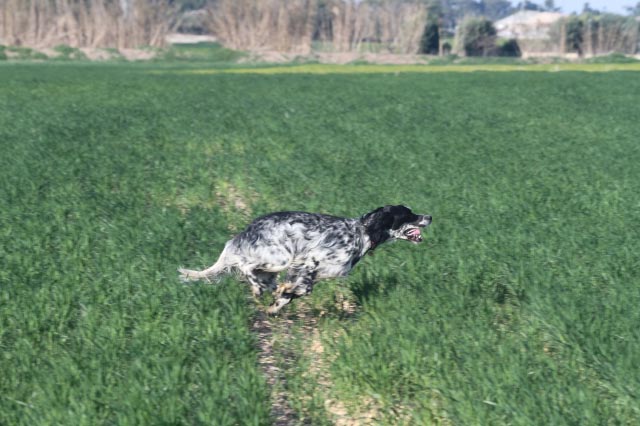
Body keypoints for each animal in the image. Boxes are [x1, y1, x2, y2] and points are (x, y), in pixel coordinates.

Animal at [178, 205, 432, 314]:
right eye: (408, 214)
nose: (430, 216)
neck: (363, 233)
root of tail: (246, 230)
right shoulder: (310, 260)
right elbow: (302, 288)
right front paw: (279, 297)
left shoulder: (306, 272)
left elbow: (293, 291)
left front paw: (276, 305)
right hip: (278, 258)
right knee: (247, 267)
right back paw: (257, 288)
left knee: (261, 275)